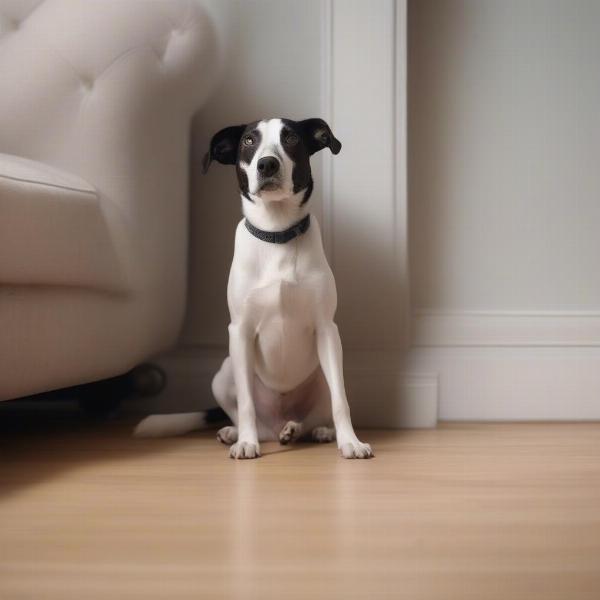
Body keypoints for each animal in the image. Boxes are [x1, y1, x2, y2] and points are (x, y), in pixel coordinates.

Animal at [136, 119, 372, 462]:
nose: (267, 164)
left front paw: (350, 442)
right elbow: (246, 402)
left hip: (323, 371)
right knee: (249, 416)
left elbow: (341, 400)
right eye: (249, 140)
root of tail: (275, 421)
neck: (277, 233)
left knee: (316, 412)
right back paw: (241, 433)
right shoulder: (240, 331)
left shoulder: (327, 329)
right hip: (223, 373)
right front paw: (246, 443)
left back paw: (309, 430)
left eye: (291, 138)